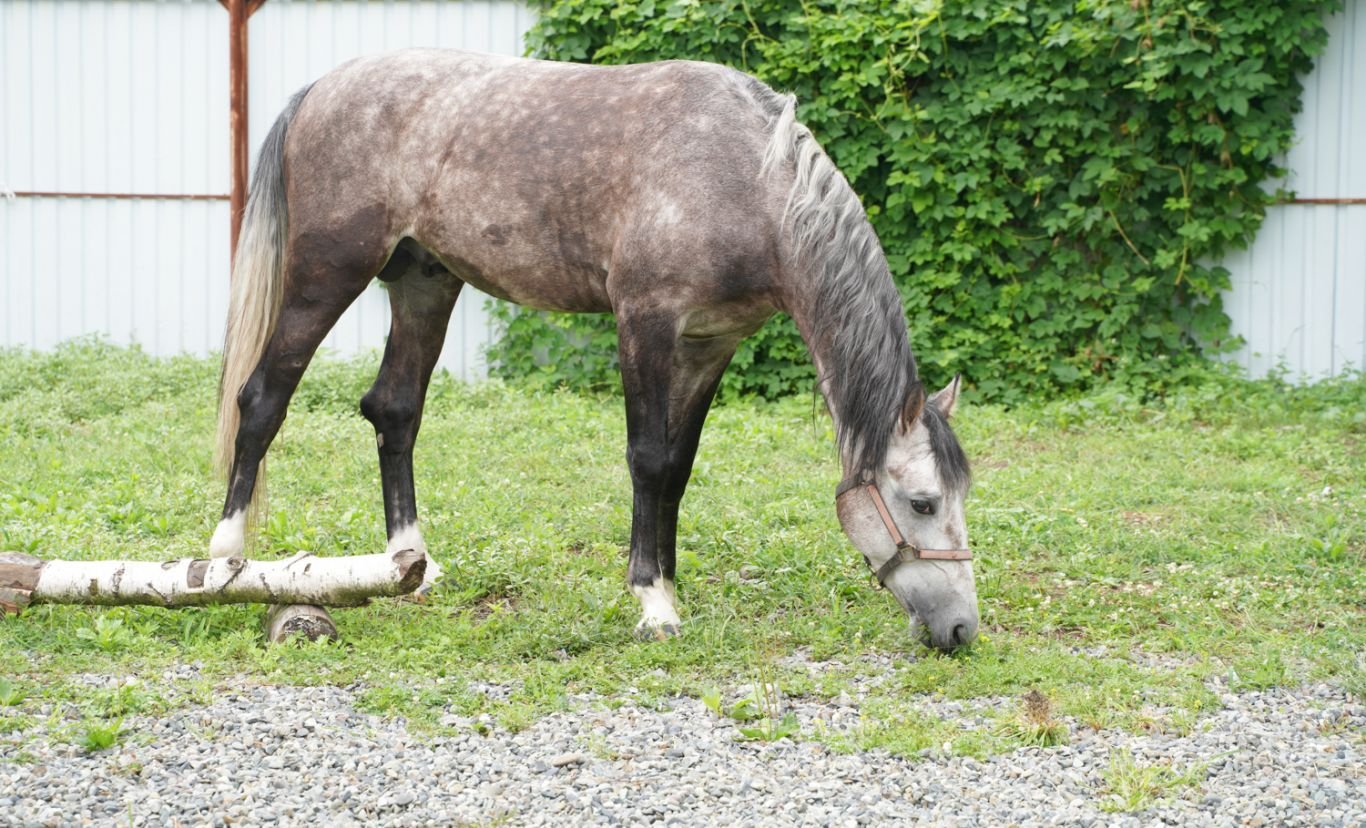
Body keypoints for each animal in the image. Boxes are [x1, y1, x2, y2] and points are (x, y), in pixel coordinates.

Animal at [210, 48, 983, 653]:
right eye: (920, 503)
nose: (960, 630)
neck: (746, 179)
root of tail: (322, 88)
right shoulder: (645, 323)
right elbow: (647, 460)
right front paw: (653, 605)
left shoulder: (710, 344)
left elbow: (677, 468)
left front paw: (669, 584)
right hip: (326, 275)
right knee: (262, 399)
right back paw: (225, 562)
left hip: (425, 282)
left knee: (394, 411)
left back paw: (413, 565)